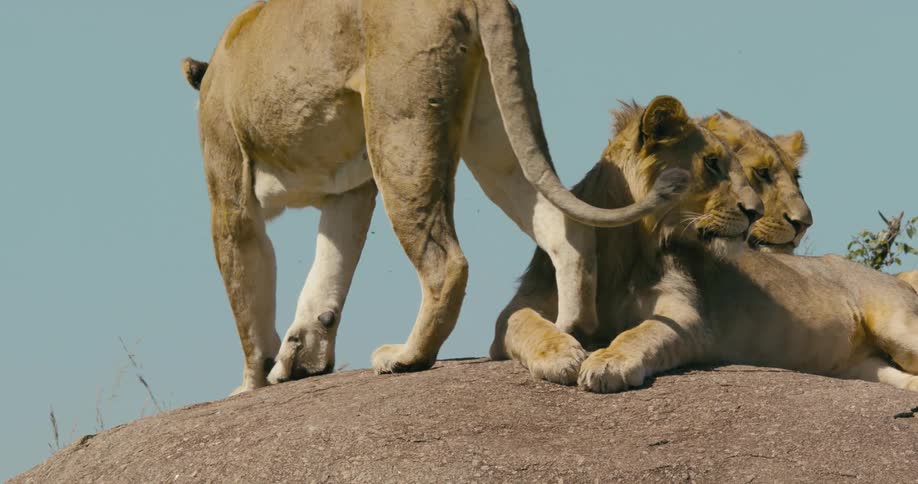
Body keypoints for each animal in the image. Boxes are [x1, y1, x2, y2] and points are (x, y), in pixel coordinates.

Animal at [182, 0, 689, 394]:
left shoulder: (230, 192)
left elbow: (249, 295)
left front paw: (251, 383)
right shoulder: (348, 191)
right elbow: (326, 275)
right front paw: (302, 358)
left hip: (400, 133)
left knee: (448, 262)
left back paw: (407, 356)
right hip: (495, 133)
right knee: (566, 228)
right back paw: (570, 331)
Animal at [493, 98, 918, 393]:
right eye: (712, 164)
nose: (753, 210)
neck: (620, 247)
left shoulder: (686, 317)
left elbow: (640, 334)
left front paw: (607, 362)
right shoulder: (517, 312)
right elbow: (523, 323)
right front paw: (561, 355)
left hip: (898, 325)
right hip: (865, 367)